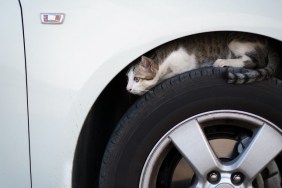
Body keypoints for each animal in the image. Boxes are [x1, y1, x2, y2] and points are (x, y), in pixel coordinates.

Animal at [126, 32, 280, 95]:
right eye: (127, 80)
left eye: (137, 79)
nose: (128, 89)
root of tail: (266, 42)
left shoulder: (184, 66)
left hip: (234, 39)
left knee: (254, 61)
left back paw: (222, 61)